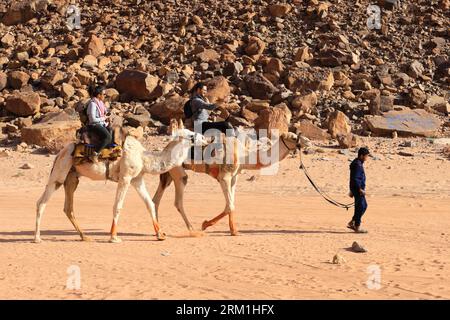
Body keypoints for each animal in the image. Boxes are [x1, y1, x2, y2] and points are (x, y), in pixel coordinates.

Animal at [34, 127, 207, 242]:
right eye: (192, 135)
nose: (207, 139)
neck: (144, 158)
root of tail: (59, 153)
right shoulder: (125, 177)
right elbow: (118, 206)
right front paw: (114, 237)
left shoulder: (137, 179)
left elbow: (150, 204)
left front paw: (160, 235)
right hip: (60, 172)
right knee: (41, 202)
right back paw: (37, 238)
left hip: (72, 178)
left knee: (68, 208)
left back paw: (85, 237)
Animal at [153, 129, 308, 236]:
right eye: (294, 137)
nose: (308, 142)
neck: (243, 155)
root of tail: (165, 149)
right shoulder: (224, 177)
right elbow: (230, 206)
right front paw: (205, 224)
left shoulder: (234, 177)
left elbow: (232, 204)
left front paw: (234, 231)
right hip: (178, 172)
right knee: (178, 201)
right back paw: (192, 230)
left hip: (168, 174)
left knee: (156, 200)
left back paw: (159, 232)